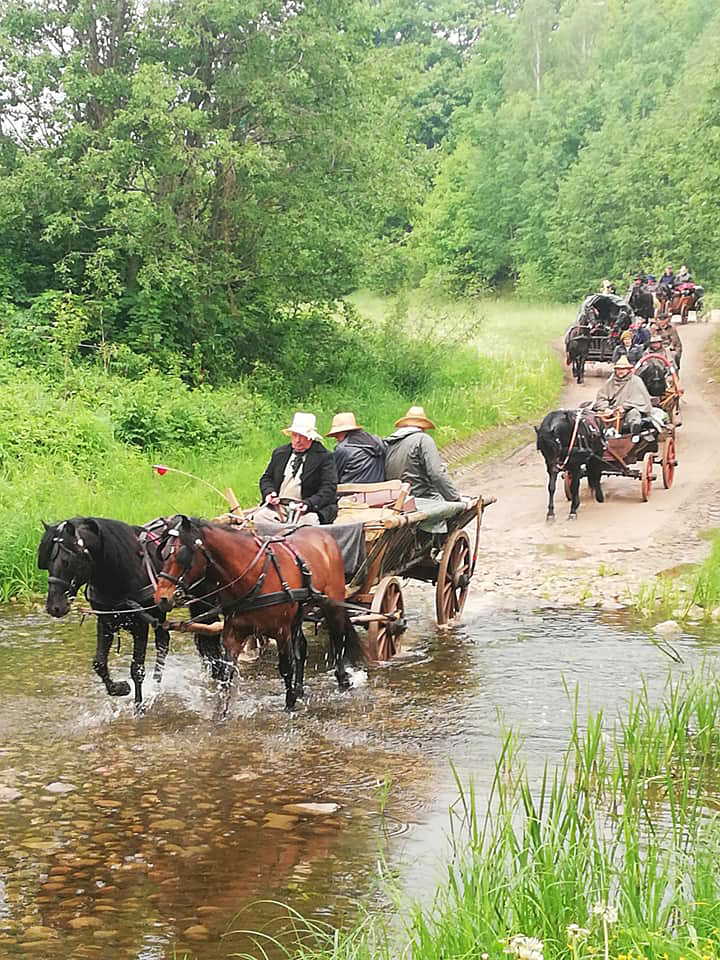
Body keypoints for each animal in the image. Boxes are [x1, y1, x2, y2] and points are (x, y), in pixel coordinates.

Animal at [37, 512, 231, 708]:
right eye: (46, 563)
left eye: (66, 561)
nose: (54, 607)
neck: (122, 571)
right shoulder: (105, 620)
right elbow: (99, 664)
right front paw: (120, 688)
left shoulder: (140, 624)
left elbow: (137, 669)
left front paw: (139, 707)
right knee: (168, 642)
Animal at [152, 516, 366, 712]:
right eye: (162, 553)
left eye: (181, 555)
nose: (161, 597)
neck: (254, 577)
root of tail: (323, 534)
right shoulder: (234, 633)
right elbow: (226, 674)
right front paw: (220, 715)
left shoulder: (281, 632)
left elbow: (286, 668)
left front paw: (290, 705)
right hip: (298, 616)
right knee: (302, 647)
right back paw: (300, 690)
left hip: (332, 605)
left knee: (338, 640)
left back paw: (343, 681)